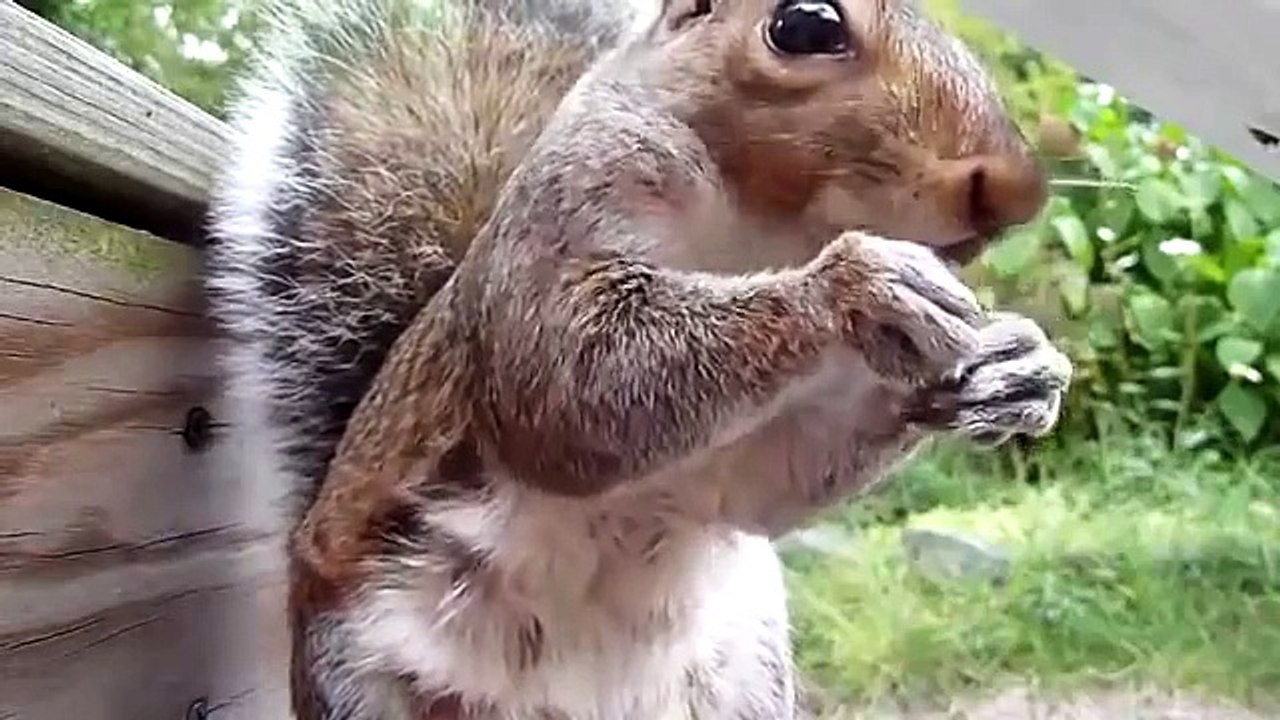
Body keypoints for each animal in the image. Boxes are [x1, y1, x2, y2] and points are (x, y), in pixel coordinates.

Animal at [204, 0, 1071, 717]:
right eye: (804, 24)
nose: (1017, 193)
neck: (759, 230)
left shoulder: (725, 468)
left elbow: (771, 480)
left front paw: (1012, 367)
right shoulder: (558, 231)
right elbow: (573, 386)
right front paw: (857, 283)